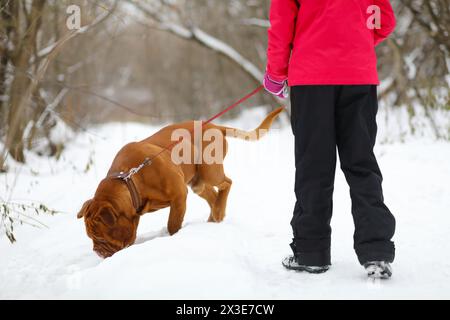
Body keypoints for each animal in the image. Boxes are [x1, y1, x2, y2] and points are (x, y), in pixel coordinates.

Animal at [77, 107, 282, 258]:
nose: (97, 252)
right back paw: (214, 217)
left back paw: (218, 212)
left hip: (210, 171)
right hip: (198, 183)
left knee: (227, 183)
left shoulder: (179, 196)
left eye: (100, 237)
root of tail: (214, 125)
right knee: (213, 195)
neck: (131, 180)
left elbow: (173, 224)